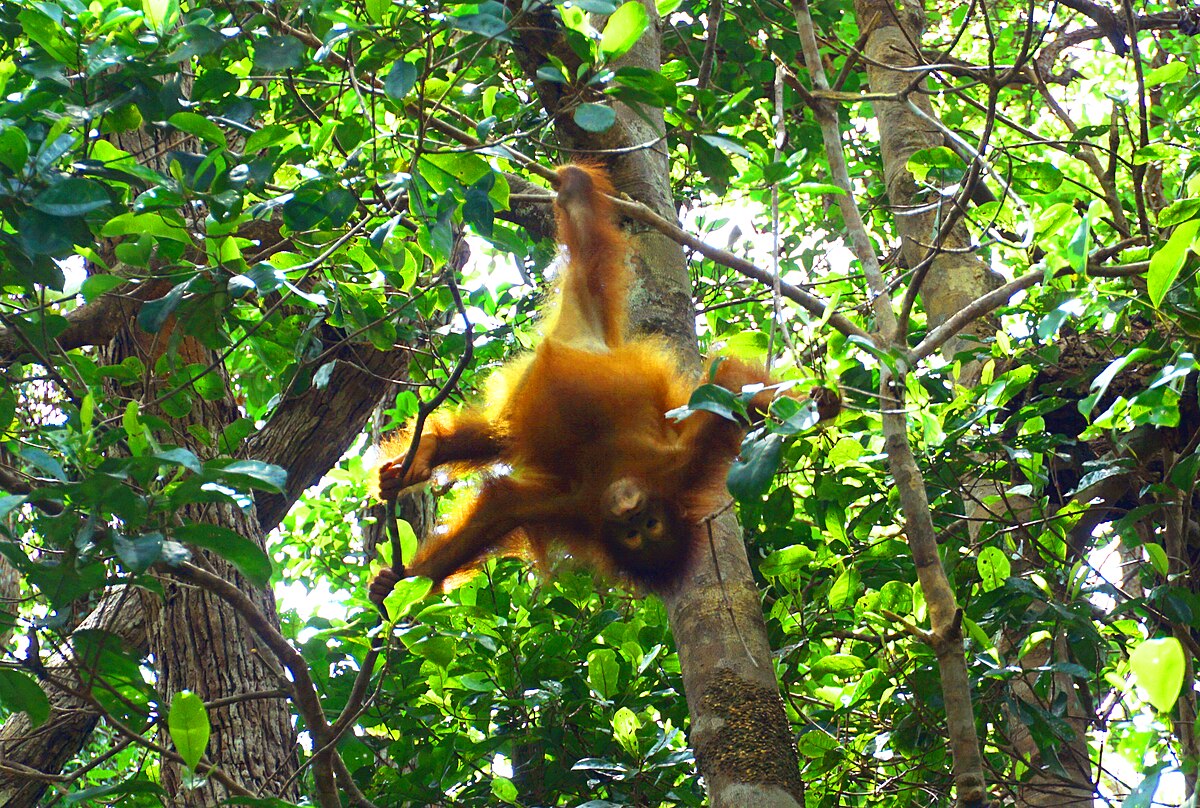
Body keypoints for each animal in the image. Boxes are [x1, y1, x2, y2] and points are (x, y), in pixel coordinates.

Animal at [368, 163, 838, 605]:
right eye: (635, 530)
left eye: (648, 527)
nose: (630, 513)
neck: (617, 472)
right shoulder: (615, 491)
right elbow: (726, 389)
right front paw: (817, 405)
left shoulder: (611, 492)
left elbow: (498, 511)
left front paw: (400, 583)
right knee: (588, 247)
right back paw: (574, 187)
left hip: (577, 326)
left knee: (498, 433)